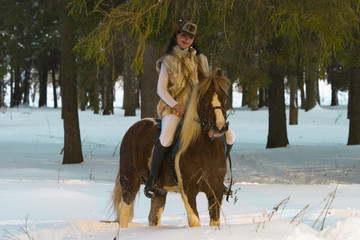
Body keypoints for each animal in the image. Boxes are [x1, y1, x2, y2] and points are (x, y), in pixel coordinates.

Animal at [111, 70, 232, 228]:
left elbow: (215, 221)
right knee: (124, 212)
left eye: (224, 97)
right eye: (205, 99)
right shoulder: (188, 190)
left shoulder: (215, 190)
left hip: (159, 191)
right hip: (129, 181)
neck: (205, 150)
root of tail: (134, 128)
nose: (220, 126)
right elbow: (195, 222)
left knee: (153, 217)